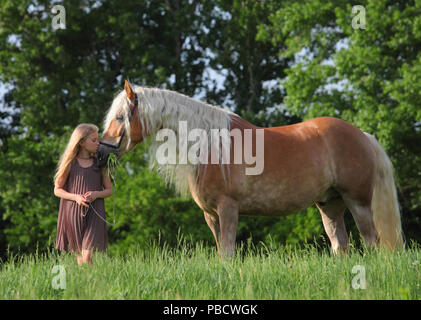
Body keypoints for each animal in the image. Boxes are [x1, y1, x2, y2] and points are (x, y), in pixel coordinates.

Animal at [99, 80, 404, 258]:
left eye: (120, 117)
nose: (102, 152)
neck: (209, 145)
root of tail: (362, 134)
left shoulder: (228, 208)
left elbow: (228, 254)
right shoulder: (211, 215)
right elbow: (221, 251)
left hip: (358, 201)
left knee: (372, 241)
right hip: (330, 204)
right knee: (341, 245)